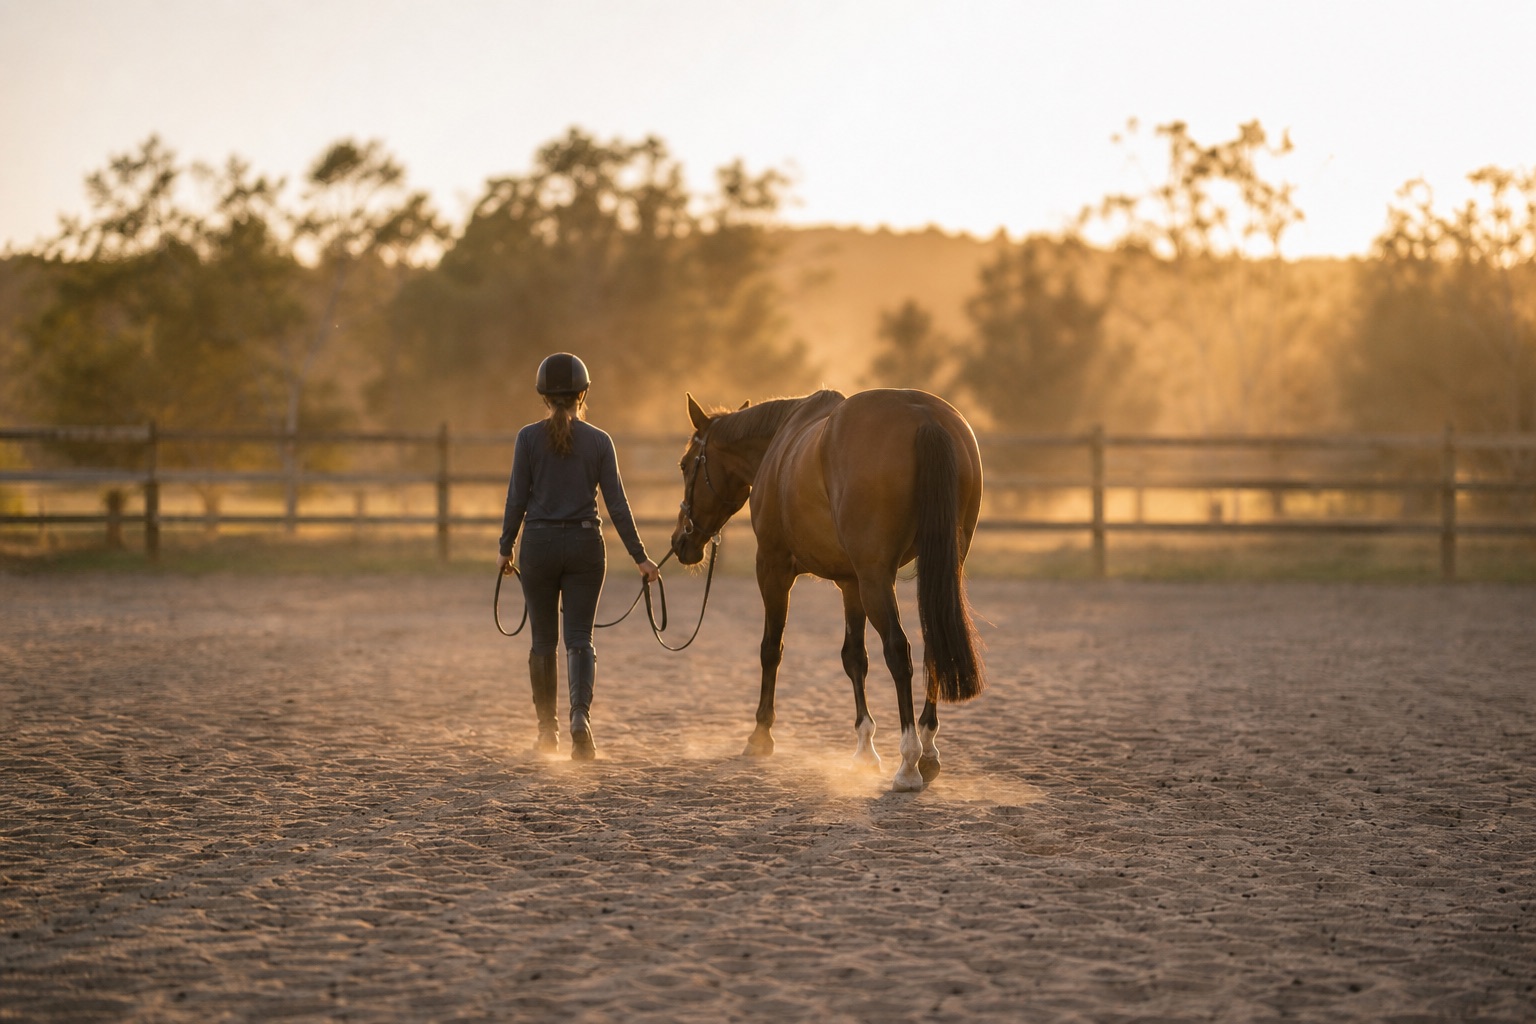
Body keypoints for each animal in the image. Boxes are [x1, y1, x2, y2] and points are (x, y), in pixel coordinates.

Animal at [669, 388, 986, 792]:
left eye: (685, 464)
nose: (681, 542)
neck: (779, 446)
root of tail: (925, 418)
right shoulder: (850, 582)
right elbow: (854, 658)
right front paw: (864, 750)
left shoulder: (772, 567)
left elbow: (771, 649)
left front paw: (760, 735)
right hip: (934, 568)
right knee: (934, 646)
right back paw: (928, 751)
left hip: (875, 578)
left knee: (899, 652)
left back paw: (909, 763)